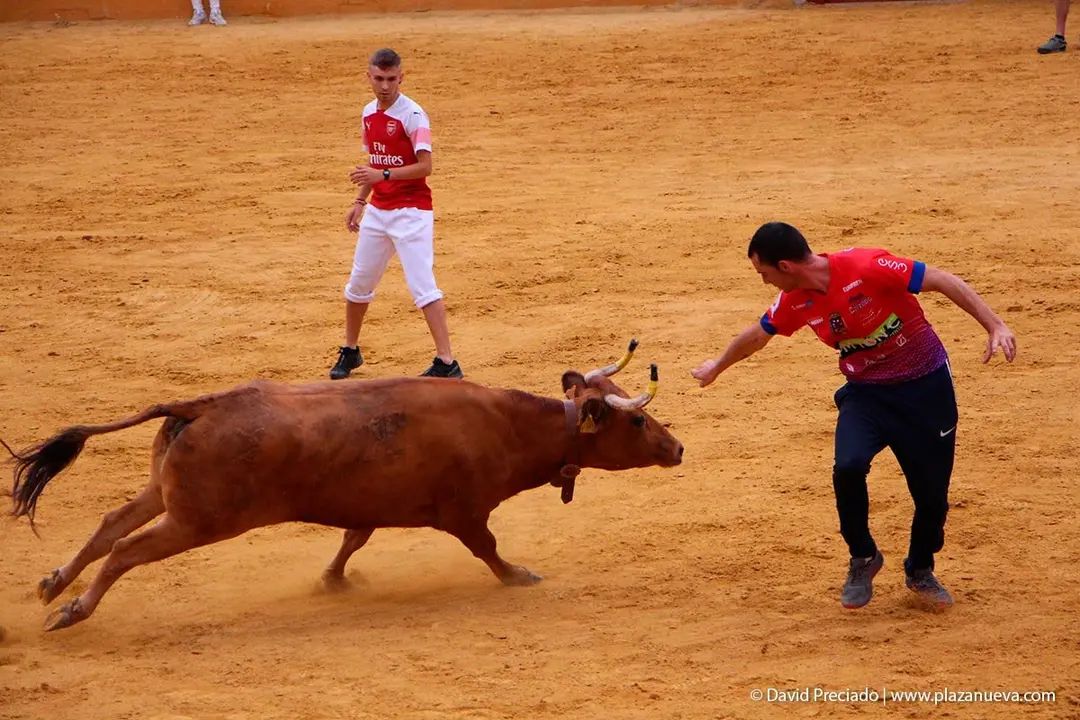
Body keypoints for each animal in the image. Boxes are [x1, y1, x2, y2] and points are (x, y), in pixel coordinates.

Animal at [4, 340, 684, 632]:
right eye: (637, 420)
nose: (678, 448)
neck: (508, 425)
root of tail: (202, 404)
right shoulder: (464, 512)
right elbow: (487, 549)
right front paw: (518, 575)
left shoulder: (372, 503)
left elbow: (353, 540)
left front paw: (331, 581)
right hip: (199, 520)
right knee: (125, 549)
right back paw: (72, 610)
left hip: (164, 497)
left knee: (110, 525)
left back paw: (52, 584)